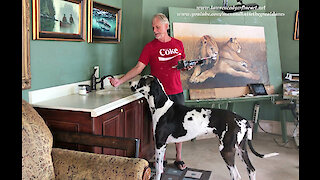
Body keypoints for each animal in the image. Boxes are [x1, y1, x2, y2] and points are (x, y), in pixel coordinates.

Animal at [130, 75, 278, 180]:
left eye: (142, 80)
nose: (129, 82)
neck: (161, 106)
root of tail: (244, 120)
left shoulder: (159, 144)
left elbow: (158, 170)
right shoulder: (163, 145)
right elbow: (161, 168)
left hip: (226, 150)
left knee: (236, 175)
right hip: (241, 149)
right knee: (252, 170)